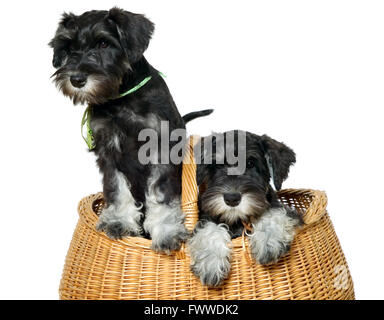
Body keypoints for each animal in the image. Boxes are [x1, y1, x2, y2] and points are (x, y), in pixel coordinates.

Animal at [49, 8, 212, 252]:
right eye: (68, 47)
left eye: (104, 43)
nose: (76, 79)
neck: (119, 99)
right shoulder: (108, 152)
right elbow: (117, 189)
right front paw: (118, 221)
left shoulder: (160, 149)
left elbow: (160, 193)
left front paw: (166, 231)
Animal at [189, 131, 304, 286]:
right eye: (217, 165)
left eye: (250, 163)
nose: (232, 198)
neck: (238, 220)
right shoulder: (205, 217)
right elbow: (209, 229)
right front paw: (211, 261)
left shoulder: (287, 211)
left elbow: (273, 213)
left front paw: (269, 241)